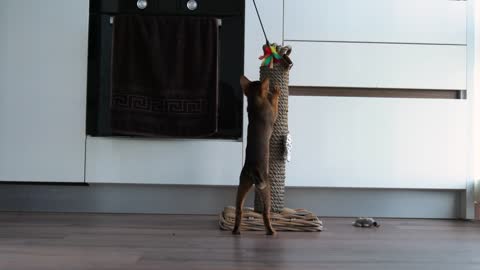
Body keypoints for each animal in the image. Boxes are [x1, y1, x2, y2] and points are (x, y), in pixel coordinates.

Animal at [233, 75, 282, 235]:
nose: (271, 88)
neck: (255, 101)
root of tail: (252, 169)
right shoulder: (273, 113)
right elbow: (275, 103)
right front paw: (276, 92)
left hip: (243, 184)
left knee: (239, 209)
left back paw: (236, 230)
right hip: (265, 187)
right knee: (266, 213)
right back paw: (271, 231)